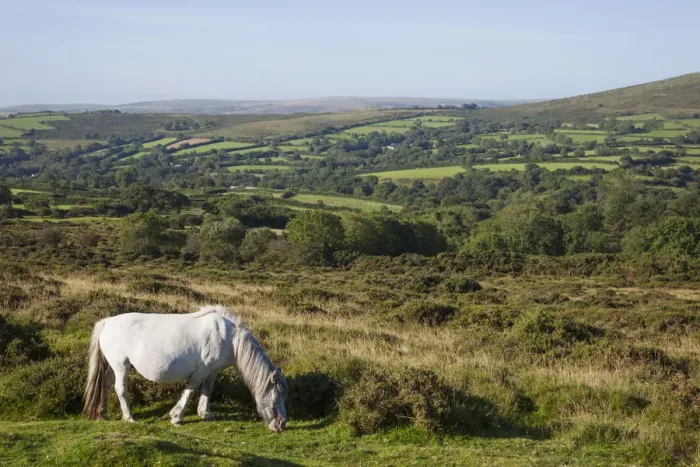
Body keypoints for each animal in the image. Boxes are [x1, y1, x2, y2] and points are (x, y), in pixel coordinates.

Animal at [83, 305, 288, 432]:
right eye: (275, 396)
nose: (281, 425)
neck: (229, 338)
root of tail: (107, 322)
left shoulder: (212, 371)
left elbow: (207, 390)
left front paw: (205, 413)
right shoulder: (202, 370)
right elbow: (191, 390)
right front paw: (177, 416)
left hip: (112, 366)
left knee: (105, 385)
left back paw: (103, 413)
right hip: (121, 366)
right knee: (119, 388)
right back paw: (129, 417)